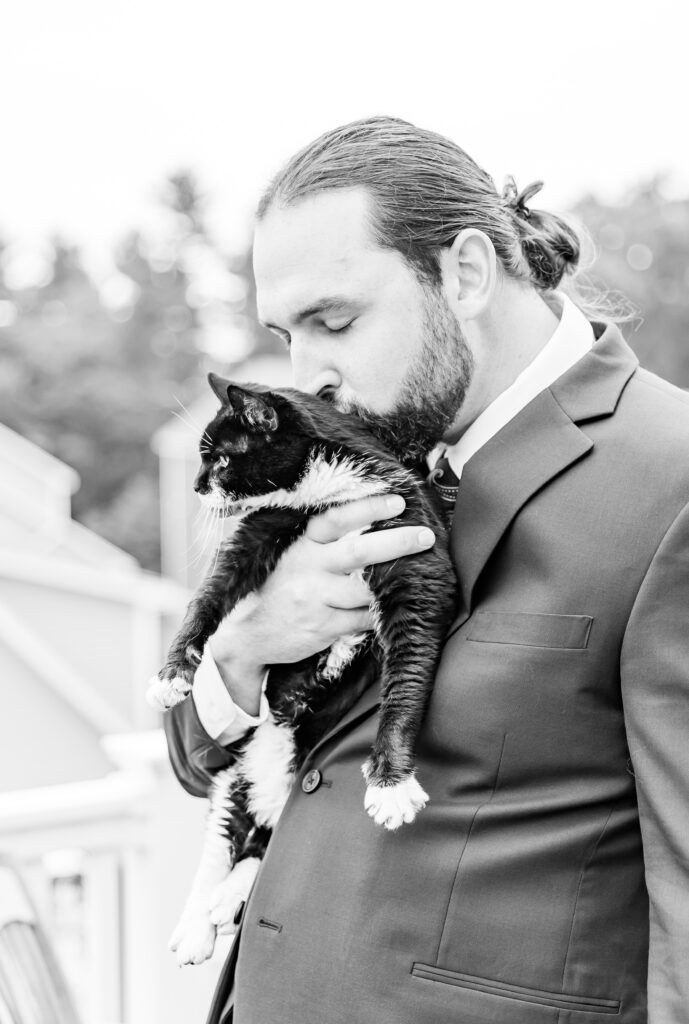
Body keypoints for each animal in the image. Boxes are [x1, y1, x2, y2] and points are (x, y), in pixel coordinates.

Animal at [147, 372, 454, 962]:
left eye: (220, 459)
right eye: (202, 458)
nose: (195, 487)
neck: (326, 495)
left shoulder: (417, 563)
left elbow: (407, 675)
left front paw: (390, 783)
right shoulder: (258, 531)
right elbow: (208, 597)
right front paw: (173, 672)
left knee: (259, 843)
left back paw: (227, 900)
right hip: (236, 771)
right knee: (225, 832)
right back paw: (197, 920)